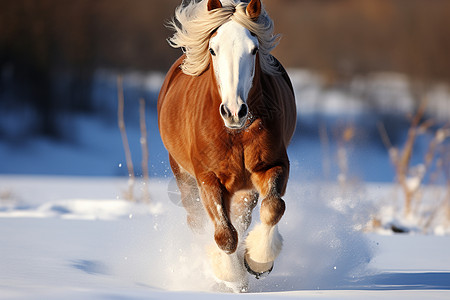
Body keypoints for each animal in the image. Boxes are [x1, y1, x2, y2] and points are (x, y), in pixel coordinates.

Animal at [156, 0, 298, 290]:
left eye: (254, 50)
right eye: (213, 49)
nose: (234, 112)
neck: (236, 134)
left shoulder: (273, 165)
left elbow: (273, 208)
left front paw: (257, 263)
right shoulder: (208, 177)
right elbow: (225, 235)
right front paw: (232, 277)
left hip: (244, 187)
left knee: (243, 219)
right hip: (183, 176)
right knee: (197, 220)